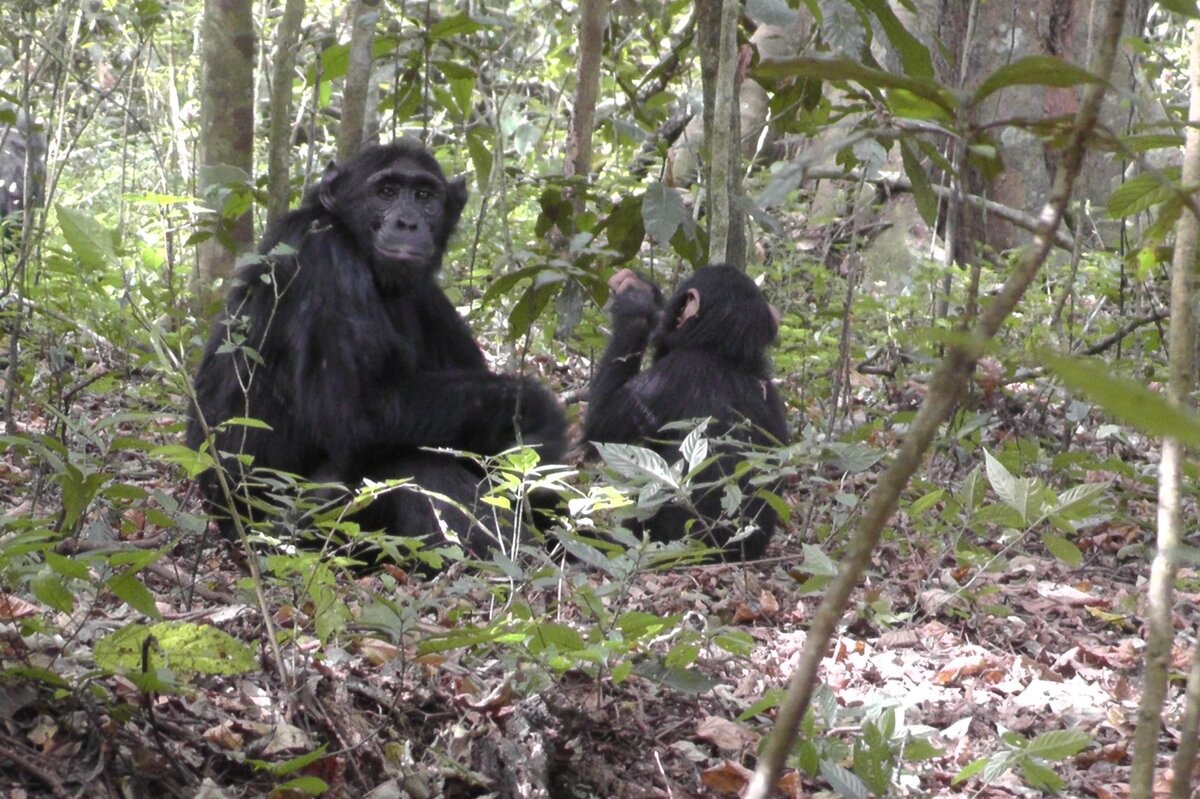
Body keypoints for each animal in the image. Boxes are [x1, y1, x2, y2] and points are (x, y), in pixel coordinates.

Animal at [188, 139, 571, 556]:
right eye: (386, 192)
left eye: (424, 196)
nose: (407, 222)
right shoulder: (325, 260)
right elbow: (358, 411)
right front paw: (536, 406)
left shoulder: (428, 296)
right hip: (290, 534)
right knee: (412, 465)